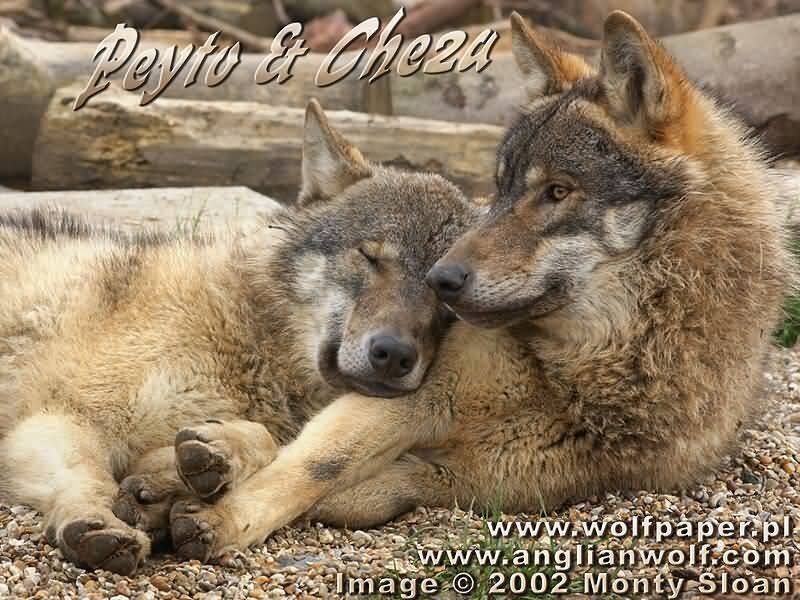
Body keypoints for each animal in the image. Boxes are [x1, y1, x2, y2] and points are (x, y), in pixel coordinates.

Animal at [0, 100, 475, 574]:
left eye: (446, 296)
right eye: (371, 257)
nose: (394, 354)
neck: (246, 342)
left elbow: (269, 445)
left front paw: (214, 458)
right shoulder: (58, 417)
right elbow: (89, 474)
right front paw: (95, 520)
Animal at [157, 11, 790, 564]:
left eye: (557, 191)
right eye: (501, 189)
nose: (441, 278)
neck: (580, 375)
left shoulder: (480, 478)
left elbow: (364, 489)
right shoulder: (412, 399)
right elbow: (310, 467)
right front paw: (221, 517)